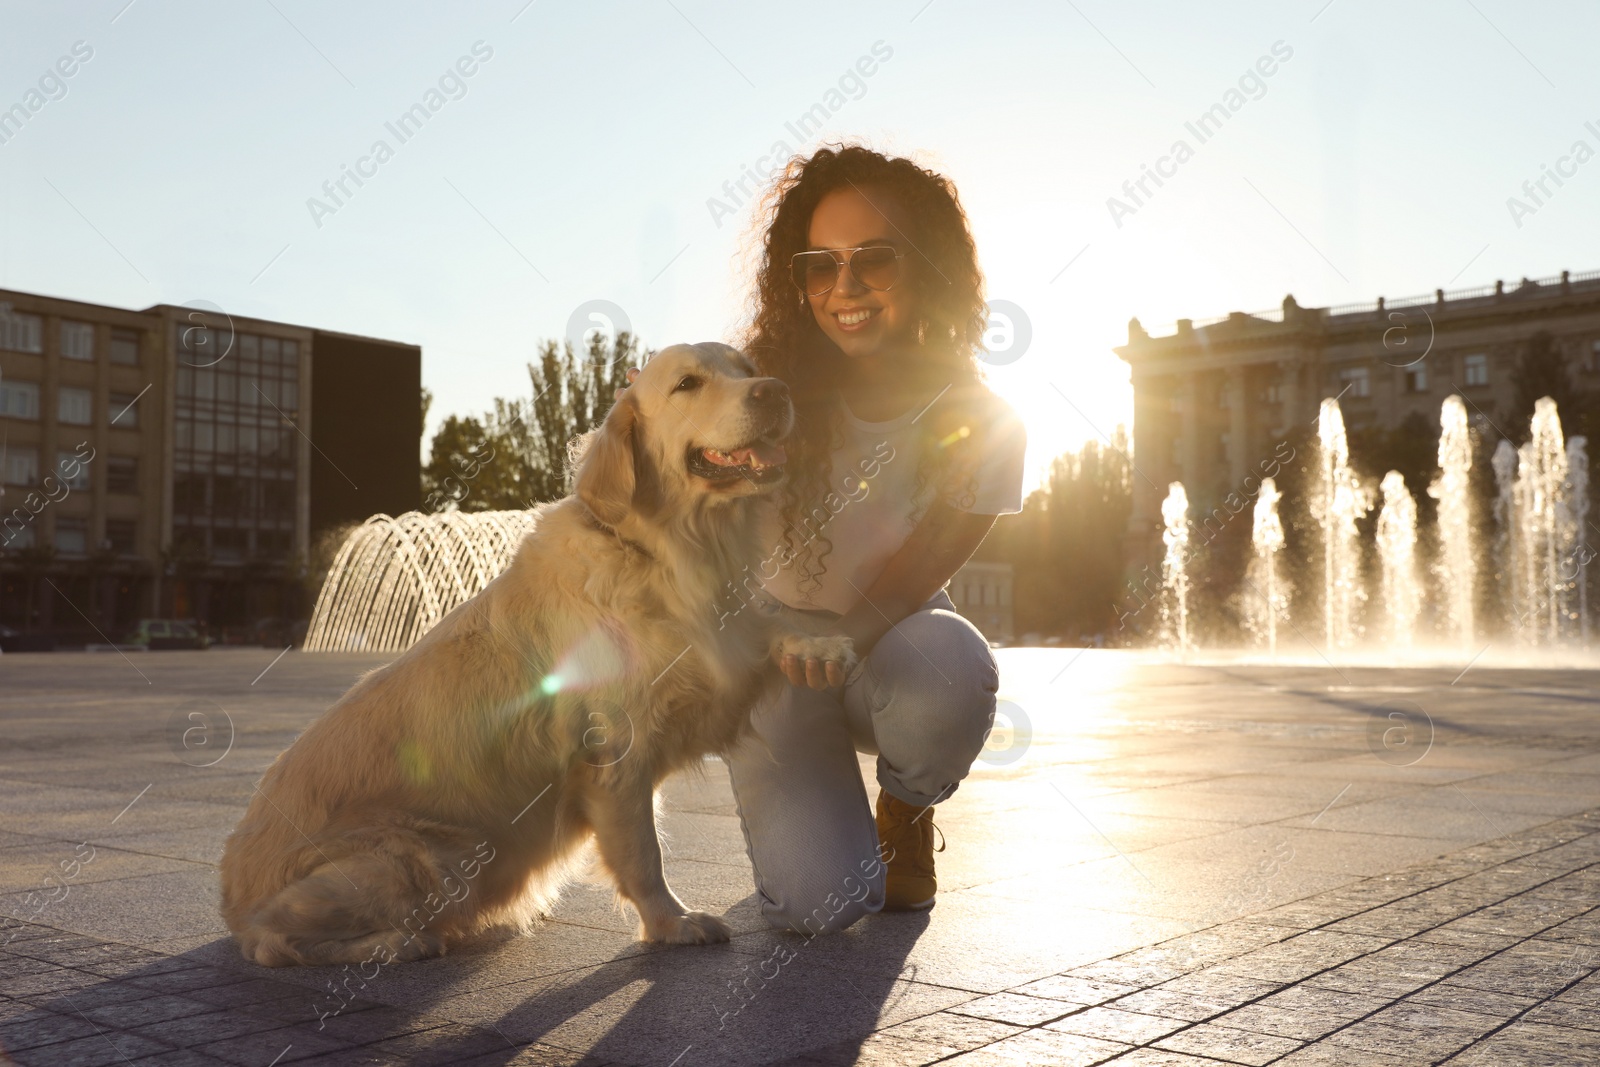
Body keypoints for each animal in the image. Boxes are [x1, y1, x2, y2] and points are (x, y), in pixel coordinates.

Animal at [222, 340, 864, 966]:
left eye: (746, 367)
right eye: (688, 383)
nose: (776, 390)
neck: (663, 550)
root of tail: (231, 896)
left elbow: (763, 622)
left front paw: (820, 644)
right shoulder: (615, 752)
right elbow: (643, 853)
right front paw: (672, 923)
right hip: (425, 857)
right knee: (273, 940)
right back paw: (401, 943)